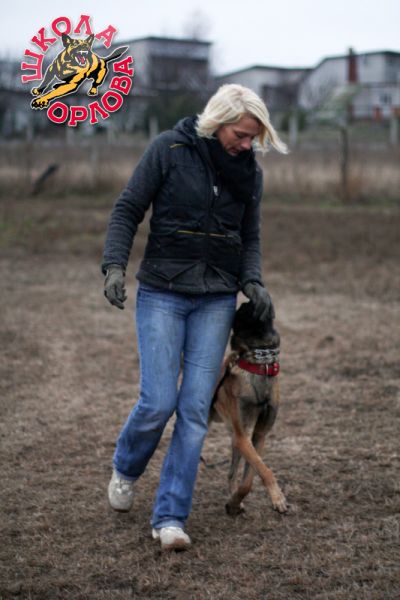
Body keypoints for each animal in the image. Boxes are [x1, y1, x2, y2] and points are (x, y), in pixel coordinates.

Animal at [209, 301, 288, 516]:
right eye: (241, 313)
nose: (246, 301)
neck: (260, 365)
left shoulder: (257, 436)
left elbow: (250, 477)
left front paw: (235, 502)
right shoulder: (242, 436)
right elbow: (264, 470)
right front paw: (278, 497)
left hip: (235, 441)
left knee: (230, 473)